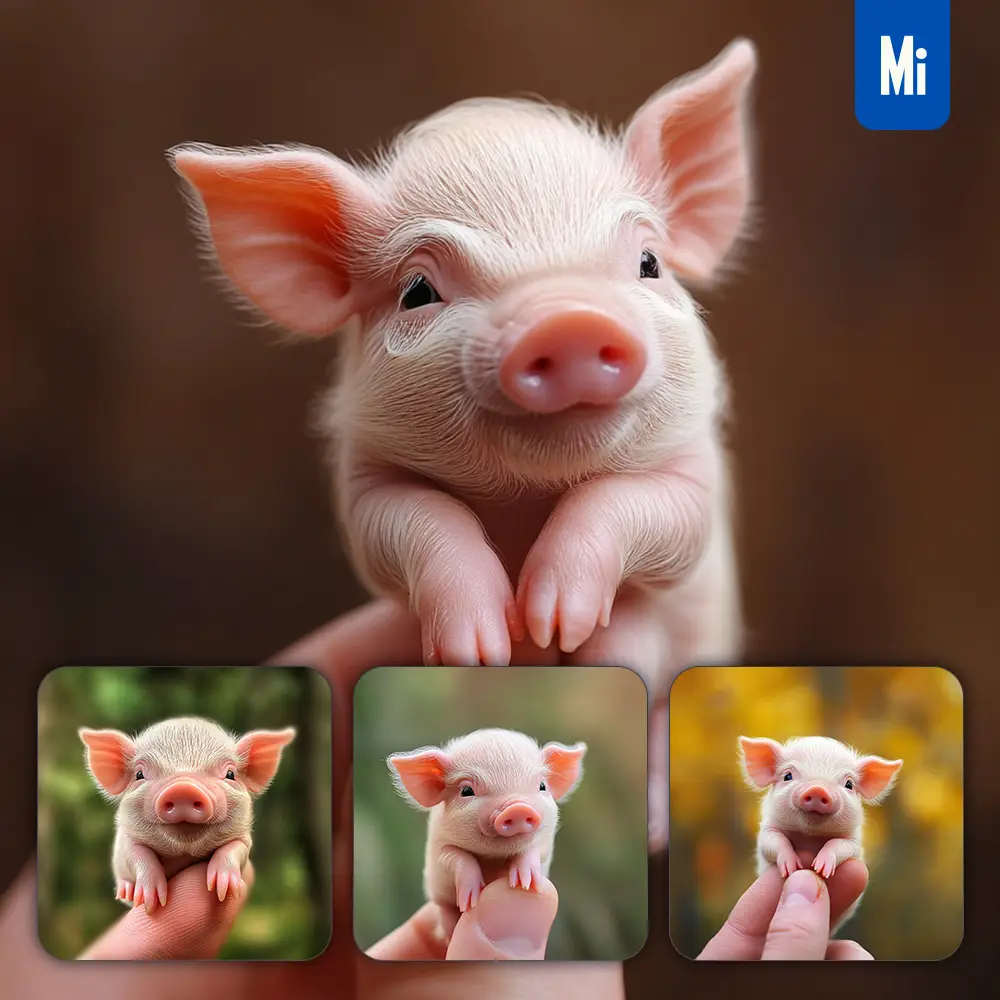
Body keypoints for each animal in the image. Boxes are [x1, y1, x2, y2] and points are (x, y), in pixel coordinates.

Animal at [79, 716, 296, 913]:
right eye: (139, 774)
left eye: (230, 774)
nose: (183, 788)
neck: (183, 853)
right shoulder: (126, 841)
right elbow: (138, 856)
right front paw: (150, 901)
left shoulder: (243, 838)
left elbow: (234, 849)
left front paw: (224, 889)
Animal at [168, 38, 760, 850]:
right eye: (418, 290)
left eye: (649, 264)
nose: (568, 319)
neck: (528, 498)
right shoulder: (367, 481)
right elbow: (414, 523)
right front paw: (487, 645)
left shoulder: (698, 480)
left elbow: (639, 504)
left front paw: (557, 620)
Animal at [388, 728, 586, 926]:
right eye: (466, 791)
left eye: (542, 785)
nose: (517, 808)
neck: (493, 858)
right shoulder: (438, 851)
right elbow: (457, 856)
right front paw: (470, 901)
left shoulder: (545, 846)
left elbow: (532, 850)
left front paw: (526, 884)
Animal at [739, 735, 903, 932]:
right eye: (788, 775)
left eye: (849, 784)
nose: (818, 789)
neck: (810, 836)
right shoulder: (767, 830)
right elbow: (773, 841)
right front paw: (792, 867)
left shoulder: (853, 842)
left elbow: (839, 845)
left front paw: (820, 868)